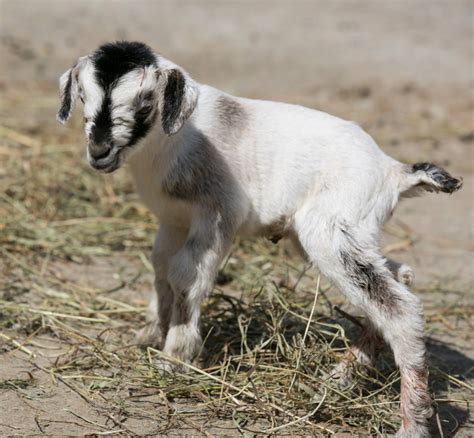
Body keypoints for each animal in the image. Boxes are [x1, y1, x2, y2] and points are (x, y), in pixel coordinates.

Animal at [57, 42, 462, 438]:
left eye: (145, 103)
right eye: (82, 95)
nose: (99, 151)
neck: (172, 142)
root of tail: (393, 171)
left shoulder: (217, 215)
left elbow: (185, 276)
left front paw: (175, 359)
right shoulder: (172, 221)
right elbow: (160, 267)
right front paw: (149, 334)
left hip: (330, 233)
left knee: (398, 308)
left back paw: (411, 423)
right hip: (346, 235)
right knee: (399, 276)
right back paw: (340, 377)